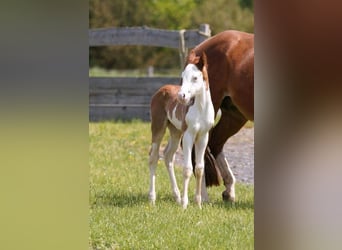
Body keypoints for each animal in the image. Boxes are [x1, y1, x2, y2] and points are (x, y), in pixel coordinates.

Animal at [149, 51, 214, 208]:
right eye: (182, 76)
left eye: (195, 77)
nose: (181, 96)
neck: (201, 109)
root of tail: (161, 90)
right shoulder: (188, 135)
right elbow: (187, 169)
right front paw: (185, 204)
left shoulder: (203, 136)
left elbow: (199, 168)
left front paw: (198, 204)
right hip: (158, 128)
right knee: (154, 157)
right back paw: (152, 198)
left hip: (175, 132)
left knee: (167, 156)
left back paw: (177, 196)